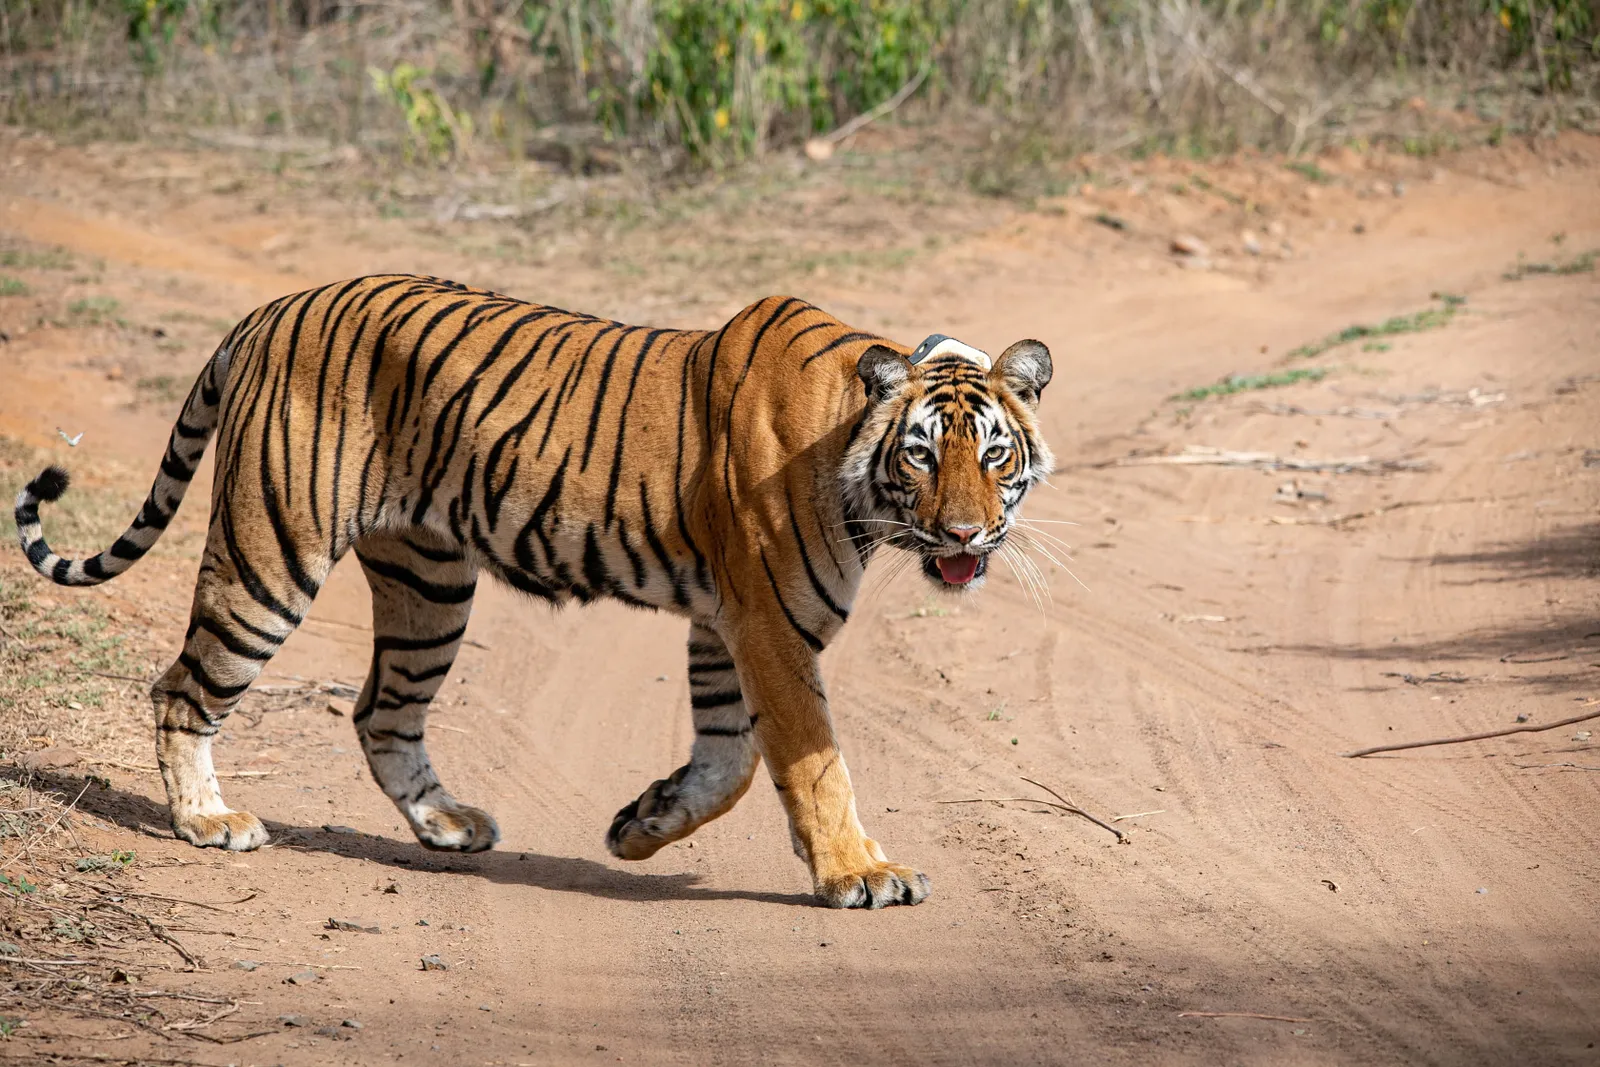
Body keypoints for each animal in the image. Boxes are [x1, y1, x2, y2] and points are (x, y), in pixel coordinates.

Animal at [18, 275, 1056, 908]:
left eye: (993, 454)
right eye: (920, 455)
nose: (965, 535)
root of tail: (272, 308)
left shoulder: (726, 625)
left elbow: (729, 759)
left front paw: (643, 825)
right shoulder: (767, 624)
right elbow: (813, 764)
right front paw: (860, 874)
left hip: (429, 583)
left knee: (382, 710)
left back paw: (446, 823)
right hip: (271, 551)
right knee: (182, 686)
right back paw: (208, 820)